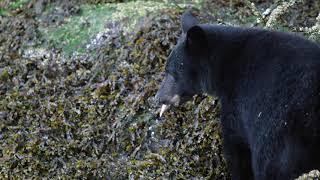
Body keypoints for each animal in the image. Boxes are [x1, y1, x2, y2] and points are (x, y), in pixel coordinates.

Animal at [156, 11, 320, 180]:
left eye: (172, 73)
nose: (158, 97)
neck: (224, 67)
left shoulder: (239, 102)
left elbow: (236, 147)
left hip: (281, 133)